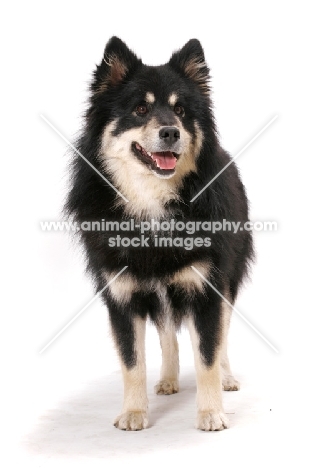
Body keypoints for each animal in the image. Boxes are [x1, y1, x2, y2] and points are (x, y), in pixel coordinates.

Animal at [65, 36, 254, 432]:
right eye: (140, 109)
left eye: (180, 110)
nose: (171, 132)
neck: (152, 203)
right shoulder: (121, 295)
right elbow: (132, 361)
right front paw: (134, 413)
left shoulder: (206, 288)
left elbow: (208, 353)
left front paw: (210, 413)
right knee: (168, 335)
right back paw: (168, 380)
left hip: (228, 278)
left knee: (223, 334)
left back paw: (227, 378)